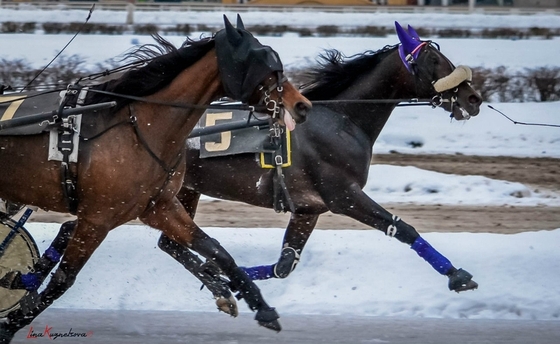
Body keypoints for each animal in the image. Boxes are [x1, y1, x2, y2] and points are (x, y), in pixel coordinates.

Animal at [0, 14, 312, 342]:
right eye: (260, 63)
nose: (302, 105)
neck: (137, 128)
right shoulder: (97, 218)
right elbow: (63, 278)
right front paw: (10, 325)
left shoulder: (158, 206)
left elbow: (216, 249)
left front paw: (261, 308)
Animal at [156, 21, 482, 314]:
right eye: (433, 60)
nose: (473, 98)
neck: (342, 120)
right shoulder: (343, 196)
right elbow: (401, 227)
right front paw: (457, 276)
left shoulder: (308, 209)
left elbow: (284, 265)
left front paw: (229, 277)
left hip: (183, 191)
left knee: (169, 244)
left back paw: (218, 286)